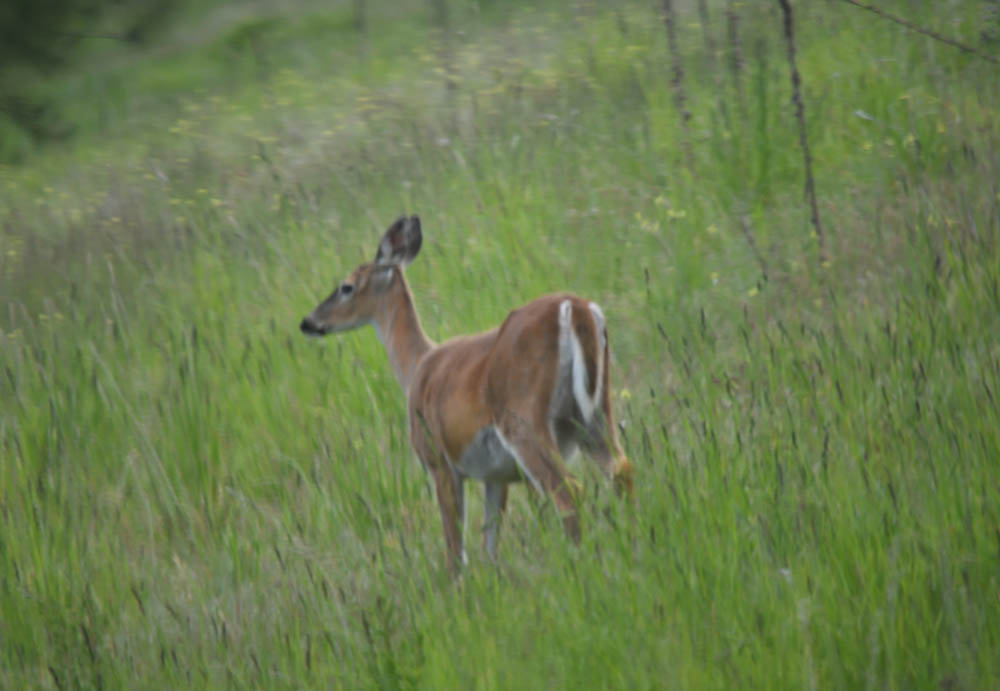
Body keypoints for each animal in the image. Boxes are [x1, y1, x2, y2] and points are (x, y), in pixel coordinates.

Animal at [300, 216, 634, 571]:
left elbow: (455, 547)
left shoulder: (438, 459)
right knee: (621, 470)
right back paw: (635, 542)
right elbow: (490, 541)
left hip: (523, 419)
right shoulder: (495, 474)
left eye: (346, 286)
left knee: (570, 490)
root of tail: (576, 307)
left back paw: (580, 562)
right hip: (594, 412)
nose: (308, 322)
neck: (417, 366)